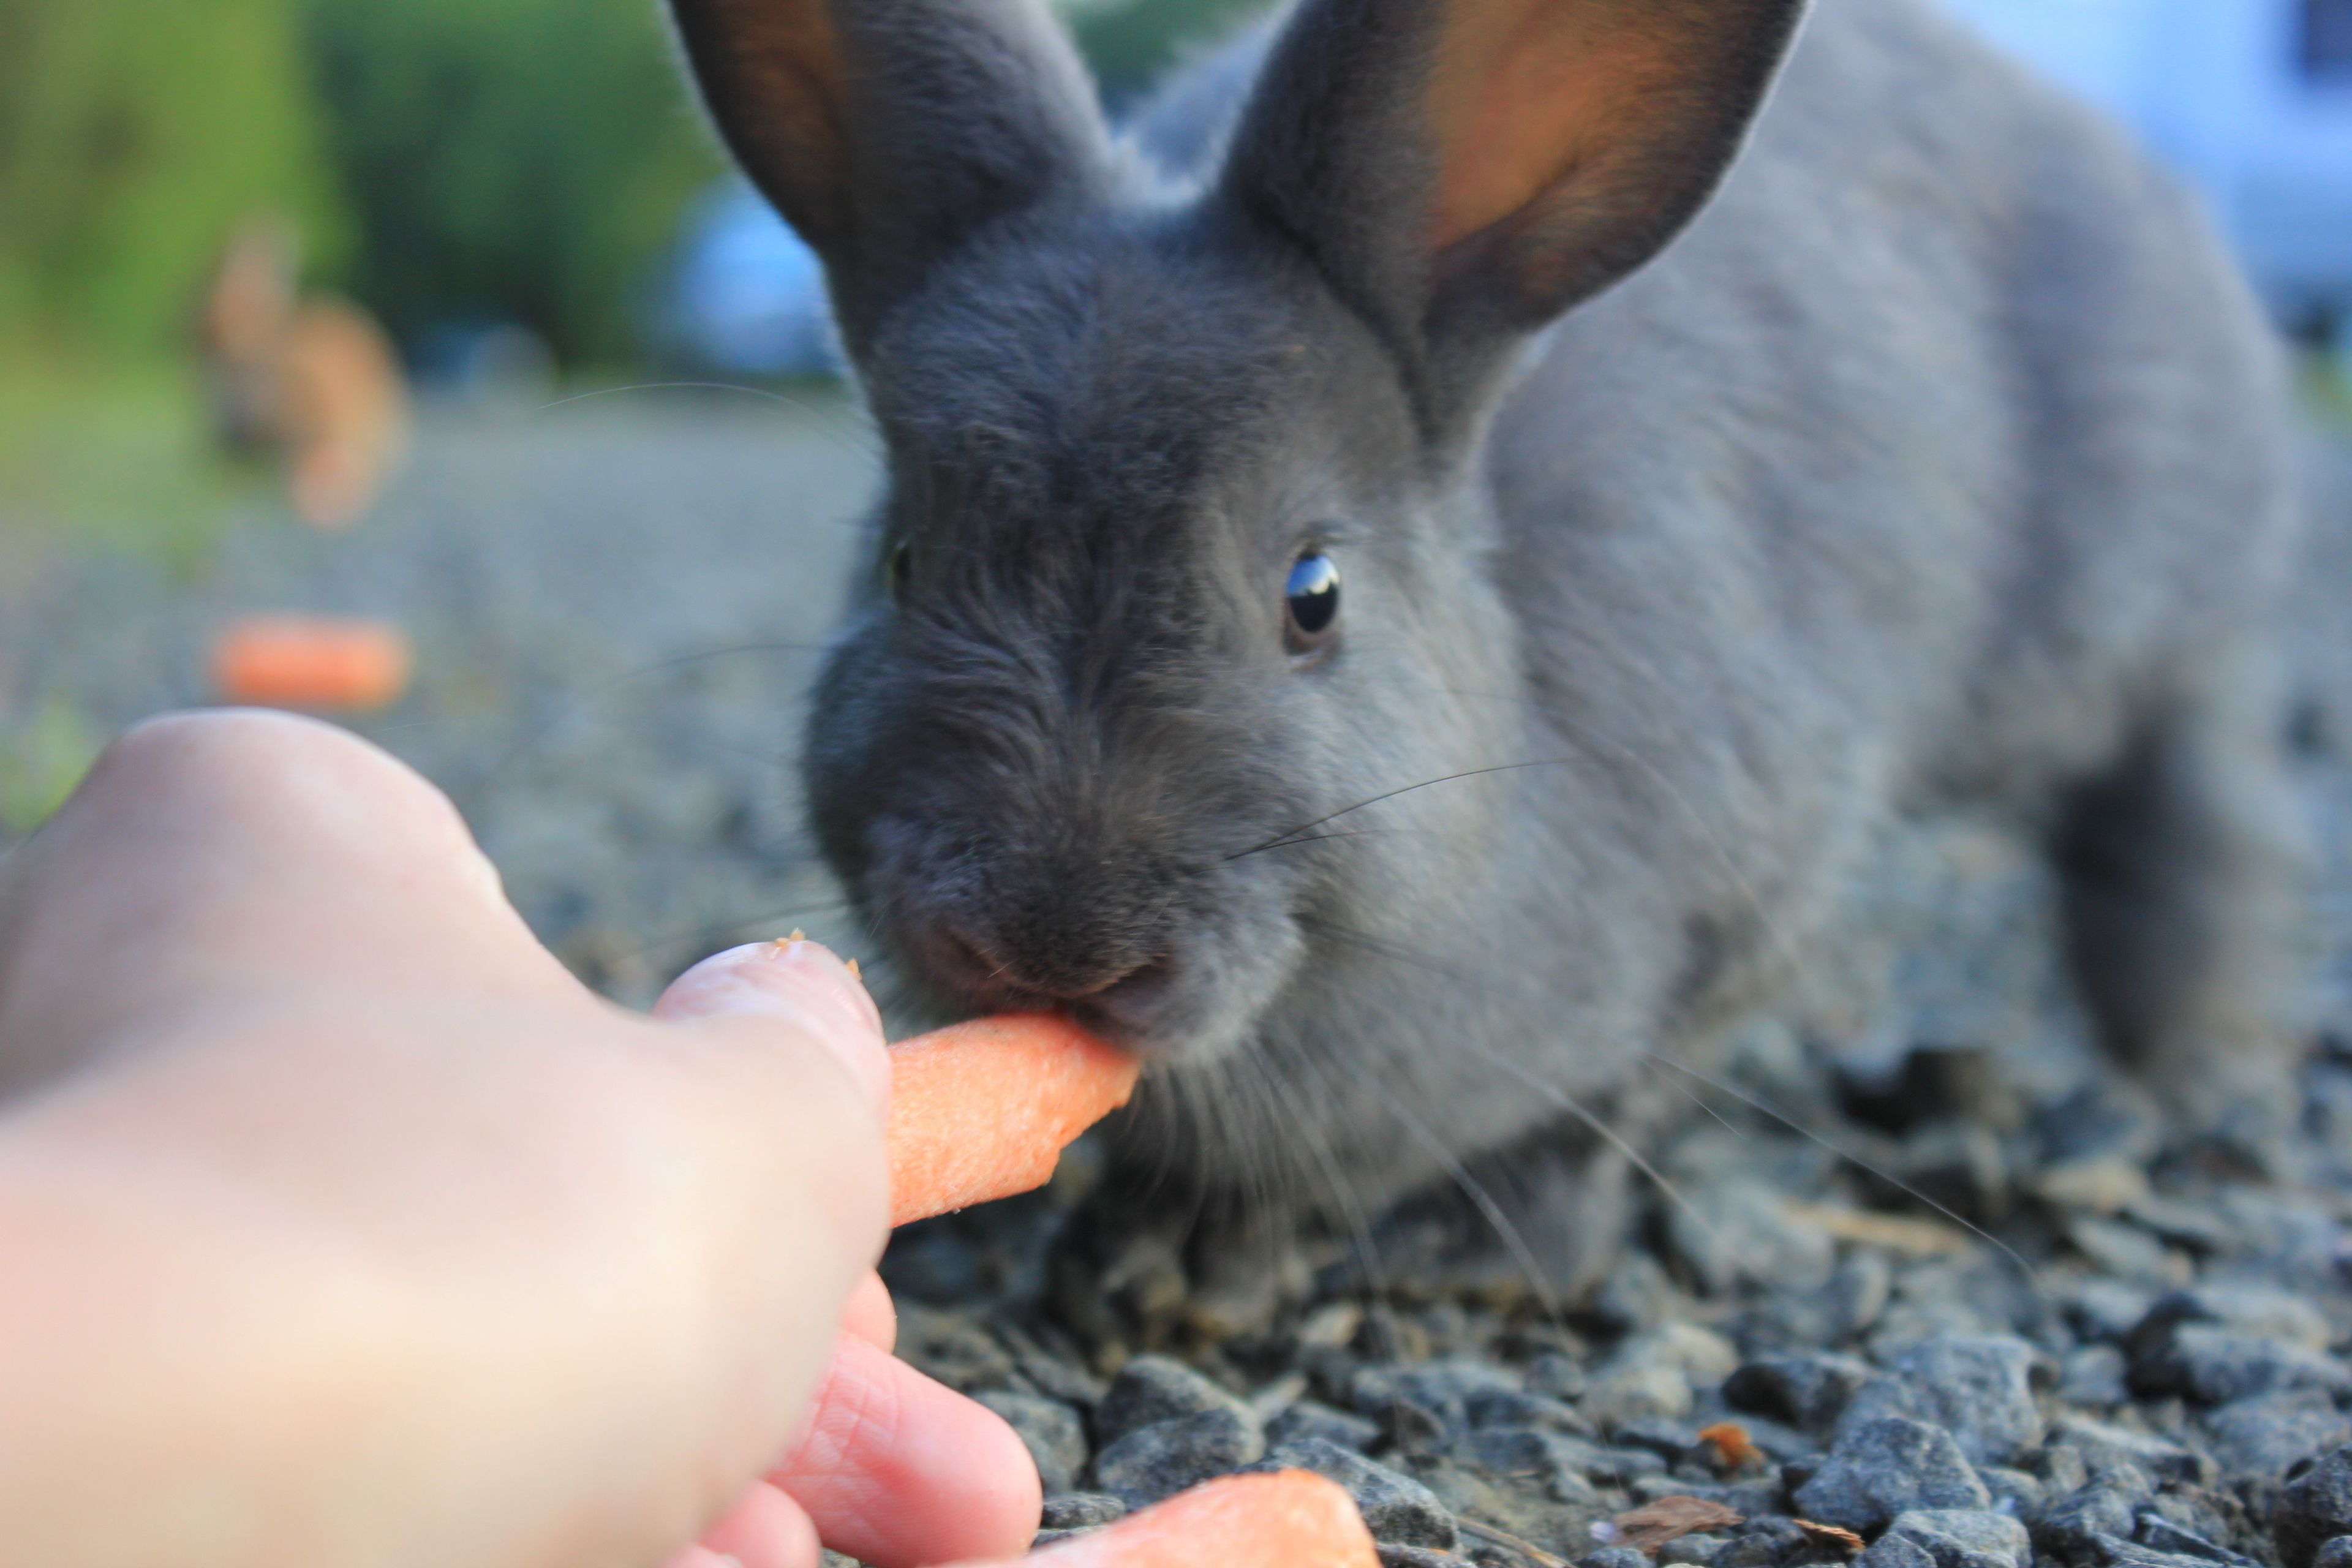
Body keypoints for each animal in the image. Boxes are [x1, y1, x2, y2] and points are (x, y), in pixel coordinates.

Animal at [665, 0, 2308, 1296]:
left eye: (1313, 593)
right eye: (902, 562)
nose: (1050, 945)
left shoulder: (1755, 888)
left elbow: (1621, 1091)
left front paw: (1482, 1244)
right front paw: (1146, 1251)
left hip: (2144, 626)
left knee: (2183, 798)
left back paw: (2182, 1060)